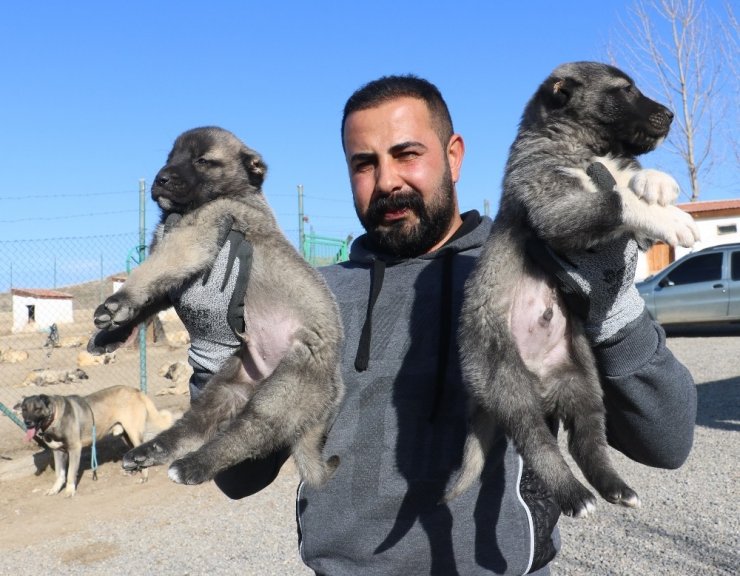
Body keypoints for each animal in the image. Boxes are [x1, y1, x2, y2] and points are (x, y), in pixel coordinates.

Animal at [15, 388, 172, 496]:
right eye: (24, 409)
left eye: (37, 409)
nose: (27, 423)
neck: (55, 417)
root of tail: (136, 390)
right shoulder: (58, 452)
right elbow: (59, 475)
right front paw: (54, 490)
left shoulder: (74, 450)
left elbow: (70, 474)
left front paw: (69, 491)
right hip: (125, 435)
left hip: (133, 433)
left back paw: (144, 477)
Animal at [89, 127, 344, 490]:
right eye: (170, 157)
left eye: (203, 160)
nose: (160, 178)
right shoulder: (174, 283)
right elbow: (147, 301)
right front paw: (110, 333)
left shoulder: (195, 237)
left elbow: (148, 273)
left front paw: (116, 304)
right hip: (230, 384)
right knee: (195, 424)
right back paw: (151, 451)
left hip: (283, 390)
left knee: (249, 433)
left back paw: (192, 466)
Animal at [446, 62, 700, 516]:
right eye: (625, 90)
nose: (670, 114)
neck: (582, 146)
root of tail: (542, 383)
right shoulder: (552, 204)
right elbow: (616, 198)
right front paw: (672, 218)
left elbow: (624, 182)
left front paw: (656, 183)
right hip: (508, 384)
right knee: (540, 447)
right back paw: (575, 496)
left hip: (584, 382)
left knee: (587, 442)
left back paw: (616, 488)